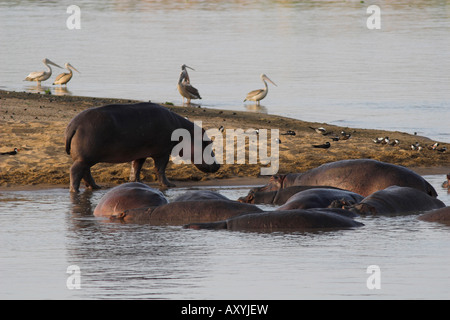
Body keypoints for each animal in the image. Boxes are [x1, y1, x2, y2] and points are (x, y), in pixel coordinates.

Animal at [66, 103, 221, 192]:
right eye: (208, 144)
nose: (218, 165)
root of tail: (73, 125)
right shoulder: (163, 152)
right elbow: (160, 169)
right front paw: (169, 185)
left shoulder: (140, 153)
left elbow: (136, 167)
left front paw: (137, 182)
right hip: (84, 159)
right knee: (75, 171)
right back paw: (75, 191)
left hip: (85, 159)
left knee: (86, 173)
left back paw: (96, 187)